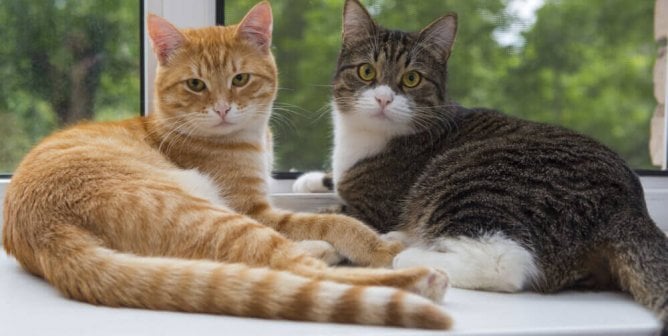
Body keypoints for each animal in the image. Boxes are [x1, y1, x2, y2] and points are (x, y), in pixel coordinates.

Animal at [0, 1, 452, 330]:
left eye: (240, 79)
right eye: (195, 85)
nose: (222, 109)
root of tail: (46, 230)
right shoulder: (255, 210)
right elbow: (337, 221)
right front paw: (375, 244)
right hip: (208, 212)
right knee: (297, 269)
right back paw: (417, 277)